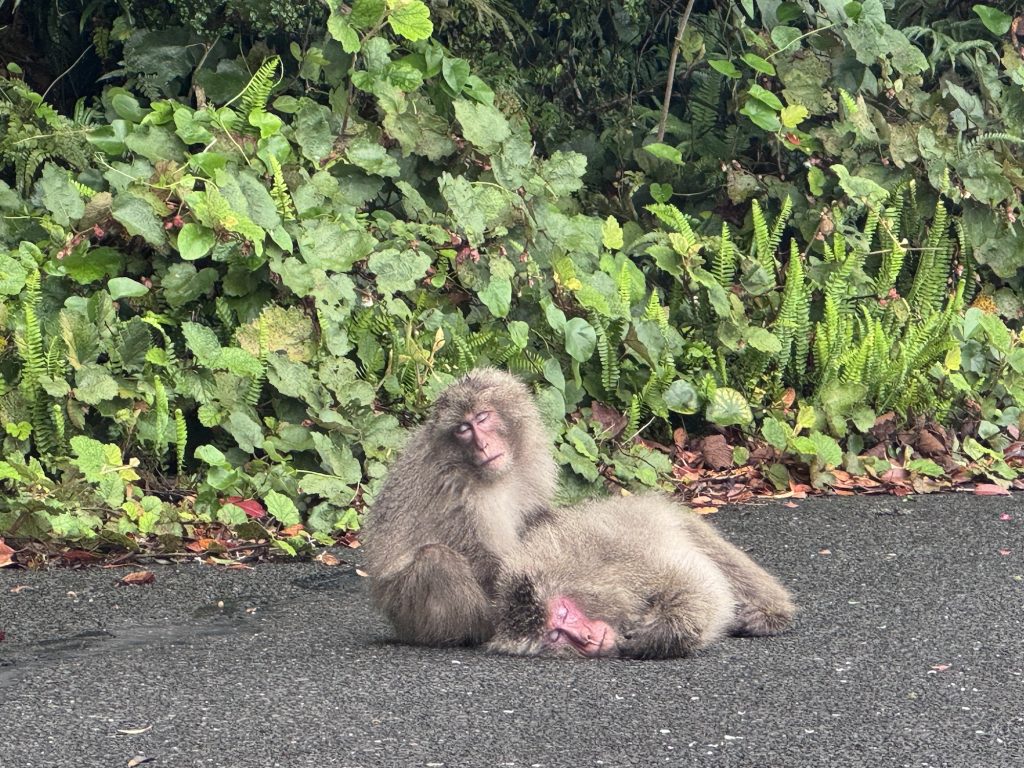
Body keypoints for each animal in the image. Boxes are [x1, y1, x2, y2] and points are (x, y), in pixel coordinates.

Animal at [364, 368, 559, 647]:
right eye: (464, 429)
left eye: (482, 417)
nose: (482, 445)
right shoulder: (450, 486)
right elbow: (473, 552)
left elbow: (535, 517)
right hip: (406, 613)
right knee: (436, 560)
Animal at [486, 495, 796, 659]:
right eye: (555, 635)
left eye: (564, 613)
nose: (586, 638)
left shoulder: (624, 561)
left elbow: (698, 587)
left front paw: (658, 637)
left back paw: (770, 613)